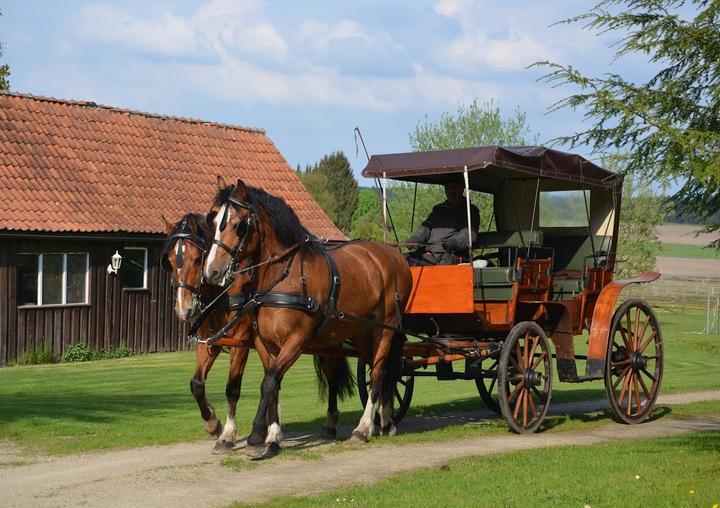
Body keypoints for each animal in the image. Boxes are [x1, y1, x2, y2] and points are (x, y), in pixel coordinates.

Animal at [162, 210, 356, 452]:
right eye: (170, 261)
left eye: (198, 259)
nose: (184, 309)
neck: (225, 292)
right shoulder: (209, 343)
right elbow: (196, 384)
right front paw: (212, 424)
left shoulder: (241, 343)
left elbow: (232, 388)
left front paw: (227, 435)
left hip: (327, 343)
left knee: (331, 377)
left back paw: (330, 423)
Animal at [202, 177, 414, 458]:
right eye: (213, 221)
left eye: (237, 225)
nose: (212, 272)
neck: (284, 277)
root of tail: (393, 255)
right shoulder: (265, 344)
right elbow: (274, 385)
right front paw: (273, 437)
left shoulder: (296, 341)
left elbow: (268, 383)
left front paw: (257, 436)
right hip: (363, 331)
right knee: (384, 370)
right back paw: (386, 420)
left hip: (386, 329)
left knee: (379, 372)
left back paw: (364, 428)